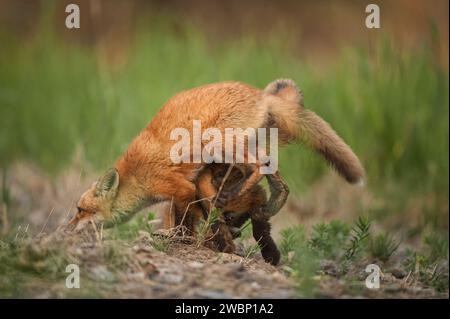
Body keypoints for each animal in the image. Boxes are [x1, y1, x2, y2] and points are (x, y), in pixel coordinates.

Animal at [69, 79, 366, 234]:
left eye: (80, 210)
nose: (65, 230)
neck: (135, 177)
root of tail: (258, 94)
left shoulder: (180, 188)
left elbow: (185, 218)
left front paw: (181, 237)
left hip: (216, 144)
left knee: (257, 166)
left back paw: (232, 193)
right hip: (246, 144)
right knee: (273, 171)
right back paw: (273, 203)